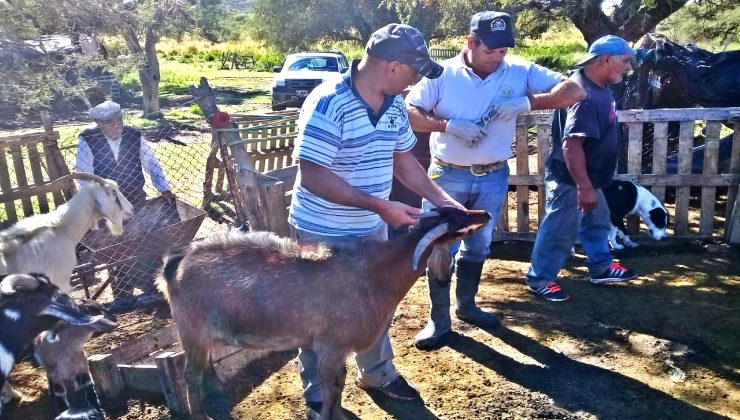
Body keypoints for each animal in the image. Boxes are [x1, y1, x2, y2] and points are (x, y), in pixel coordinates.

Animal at [157, 208, 492, 420]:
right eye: (460, 219)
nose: (485, 214)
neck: (374, 274)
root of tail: (176, 262)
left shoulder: (340, 350)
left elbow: (340, 386)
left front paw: (341, 415)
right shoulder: (330, 346)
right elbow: (330, 389)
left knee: (206, 367)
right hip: (191, 329)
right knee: (190, 374)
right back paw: (199, 415)